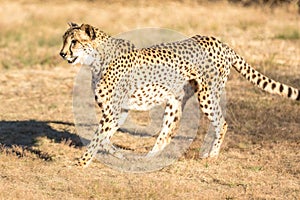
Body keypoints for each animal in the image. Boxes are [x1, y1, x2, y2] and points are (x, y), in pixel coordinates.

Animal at [59, 22, 298, 167]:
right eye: (64, 40)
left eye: (74, 42)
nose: (62, 53)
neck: (96, 59)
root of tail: (219, 42)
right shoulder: (120, 109)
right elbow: (104, 137)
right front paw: (117, 154)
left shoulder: (114, 109)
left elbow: (98, 137)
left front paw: (81, 163)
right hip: (175, 102)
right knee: (167, 132)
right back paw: (147, 160)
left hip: (207, 96)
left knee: (222, 122)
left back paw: (212, 155)